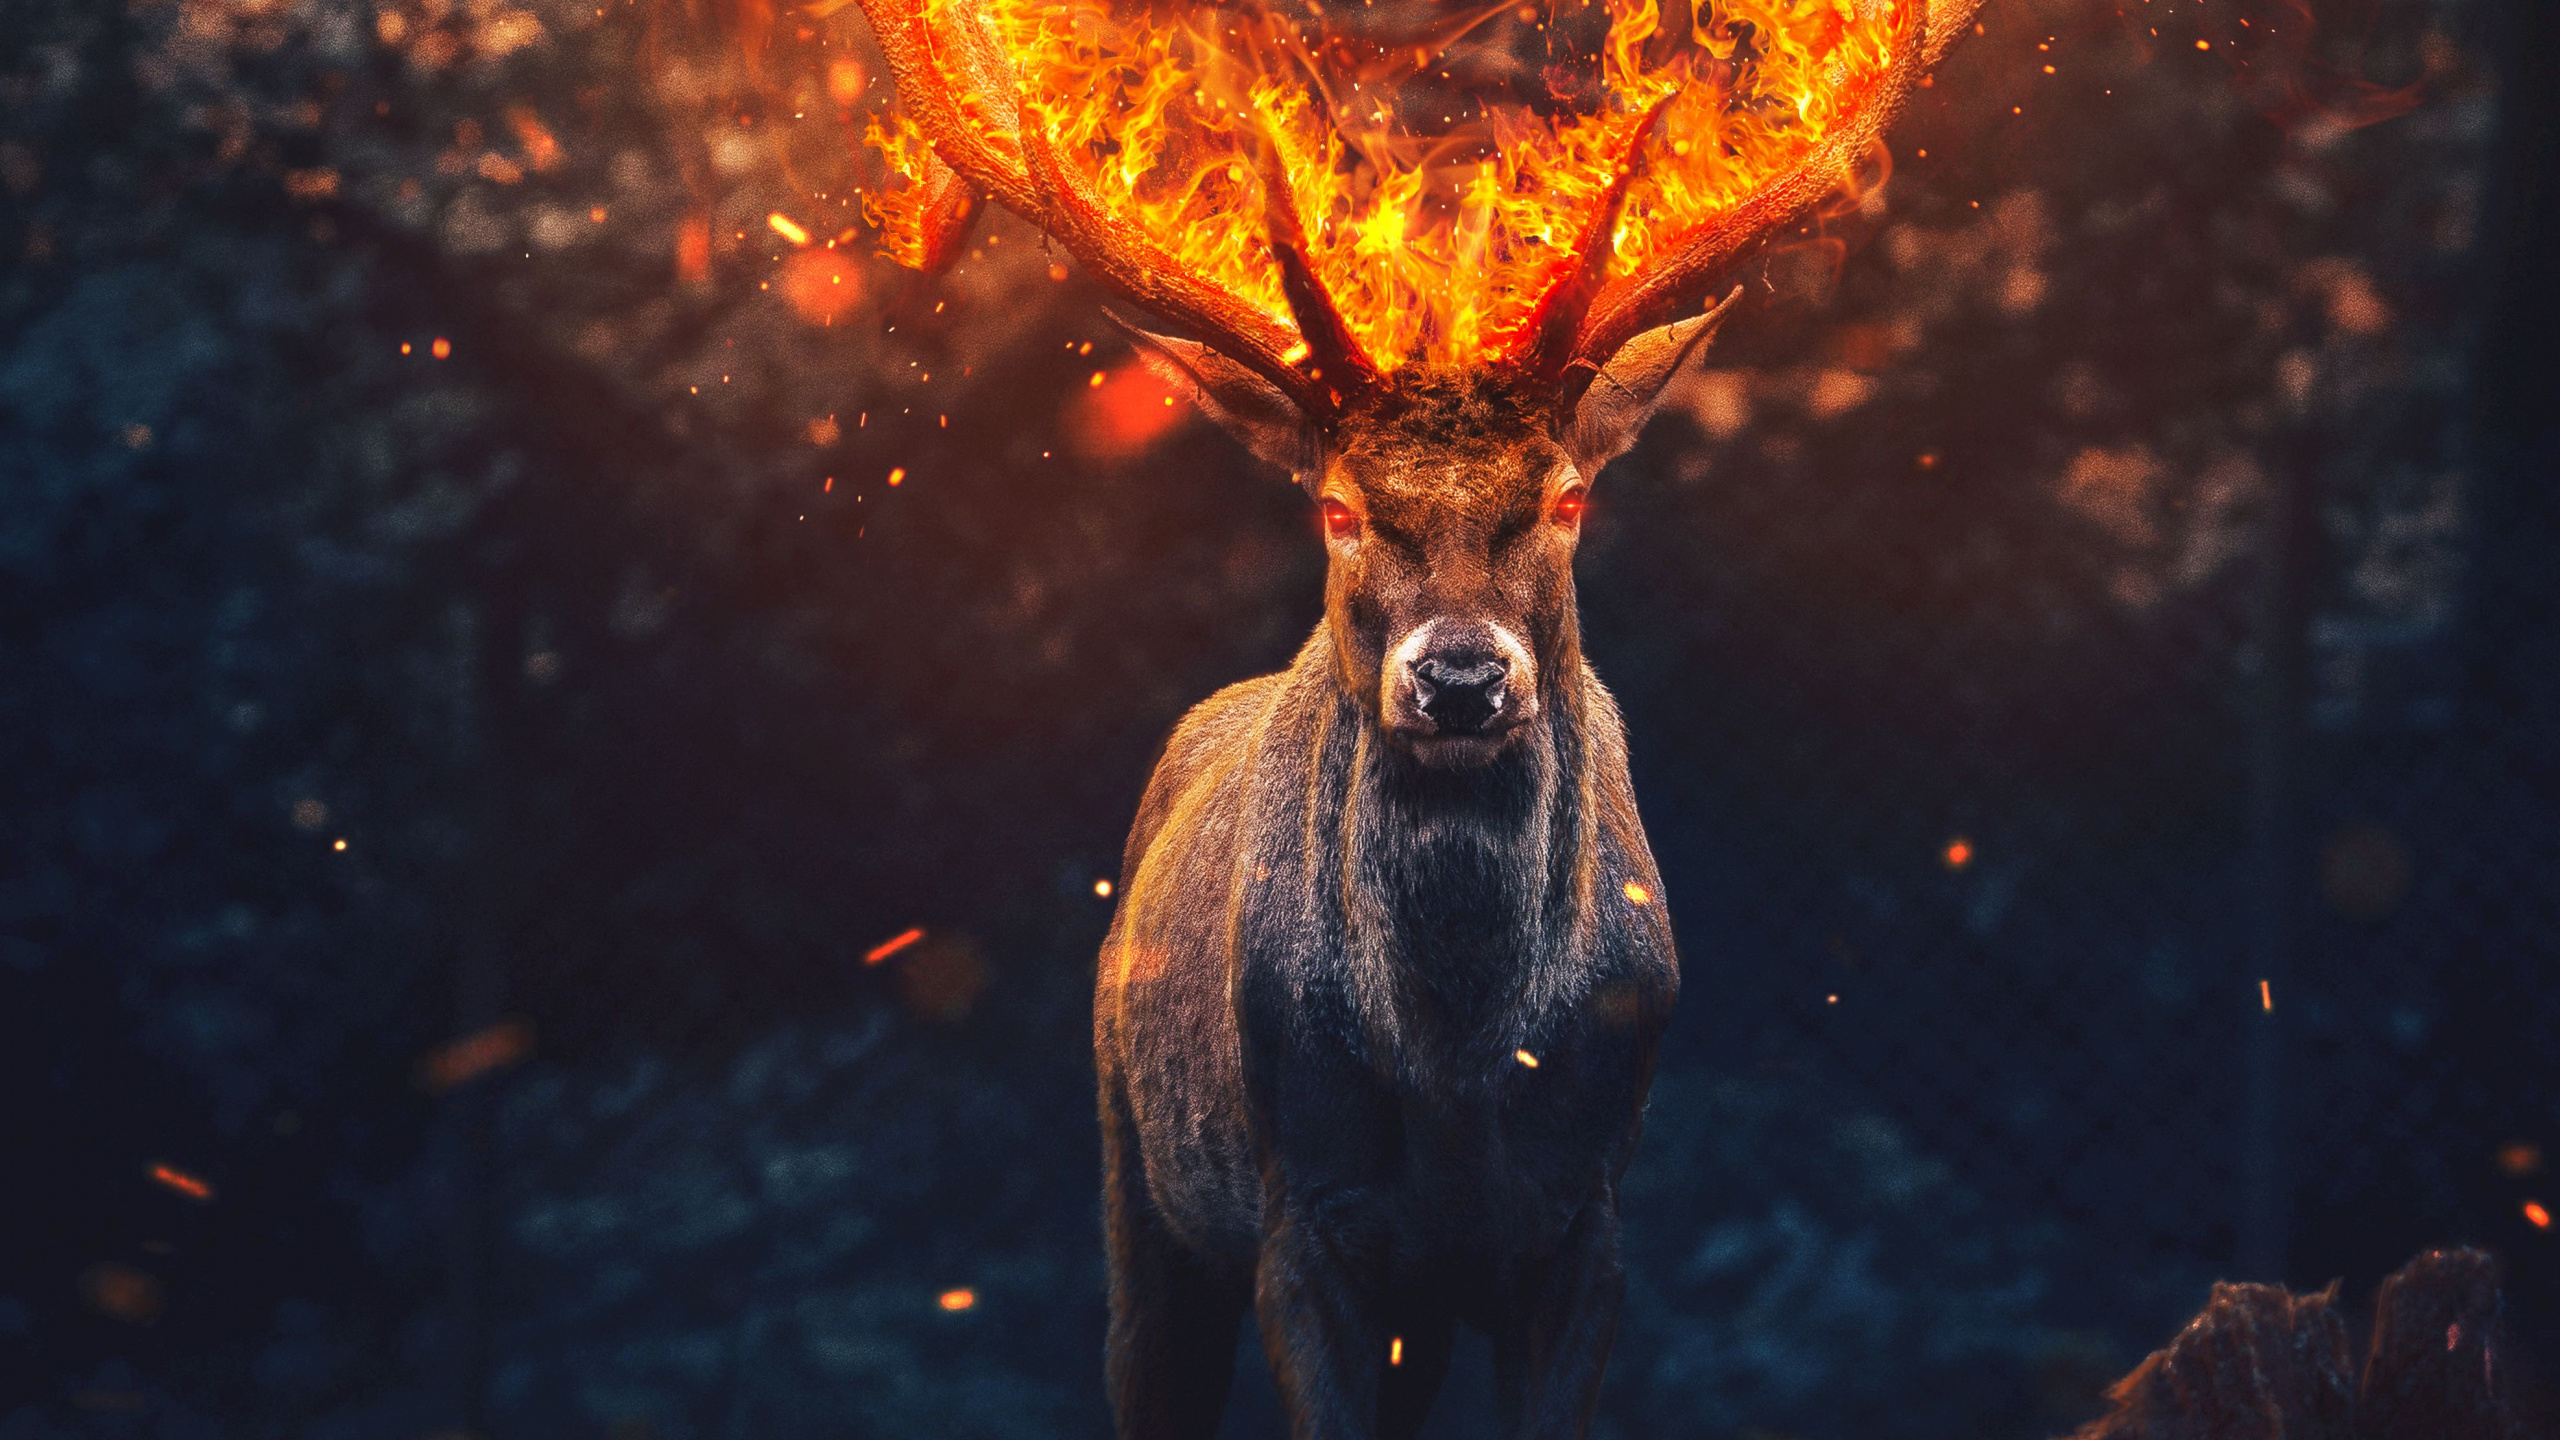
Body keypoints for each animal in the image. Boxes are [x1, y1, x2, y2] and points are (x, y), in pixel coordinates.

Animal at [845, 0, 1982, 1434]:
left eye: (1565, 498)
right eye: (1337, 507)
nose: (1459, 678)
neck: (1458, 1073)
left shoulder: (1585, 1223)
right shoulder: (1304, 1215)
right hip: (1135, 1174)